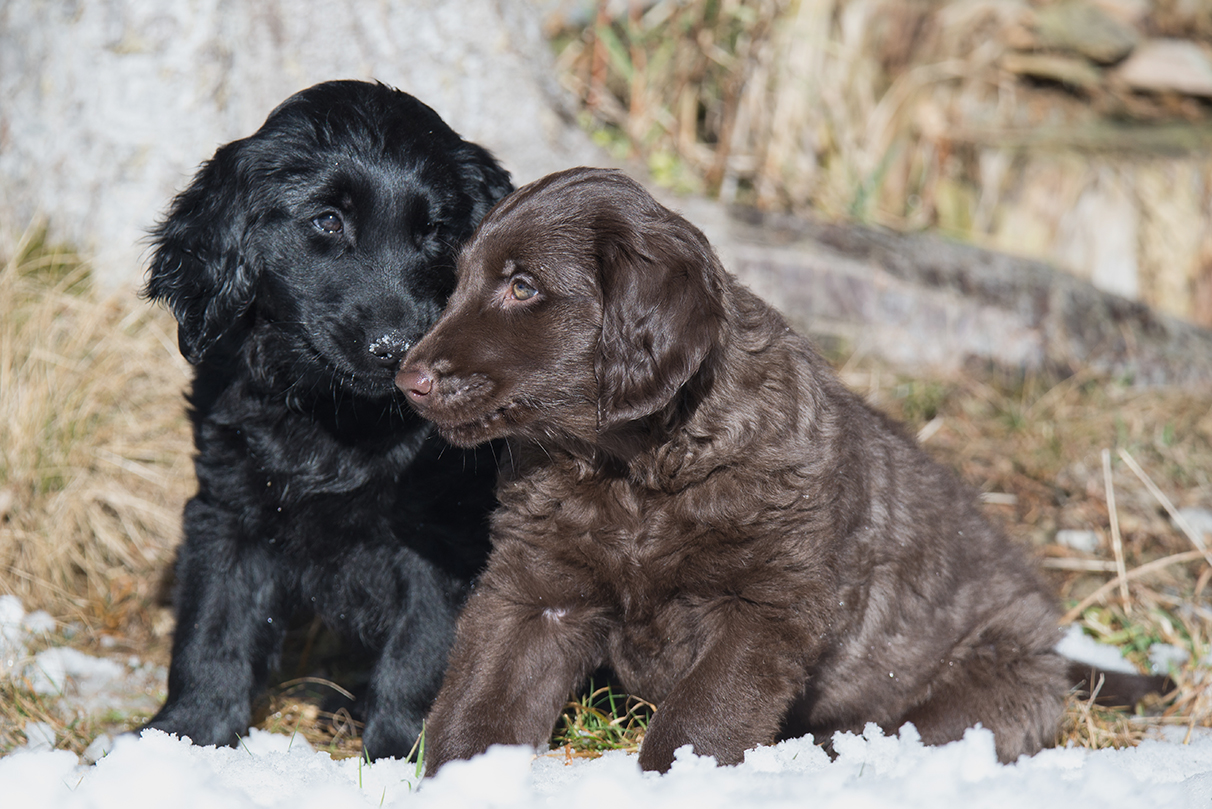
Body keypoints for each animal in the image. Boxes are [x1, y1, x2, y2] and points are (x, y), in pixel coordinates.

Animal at [141, 82, 511, 761]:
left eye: (436, 231)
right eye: (328, 221)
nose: (396, 349)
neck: (339, 417)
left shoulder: (445, 534)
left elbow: (421, 652)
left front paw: (401, 754)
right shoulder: (228, 506)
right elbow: (211, 628)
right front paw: (183, 736)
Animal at [395, 167, 1061, 776]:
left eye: (523, 287)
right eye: (458, 283)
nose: (408, 380)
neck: (634, 472)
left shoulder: (766, 604)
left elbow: (698, 718)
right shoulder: (535, 589)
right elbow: (481, 700)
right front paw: (461, 779)